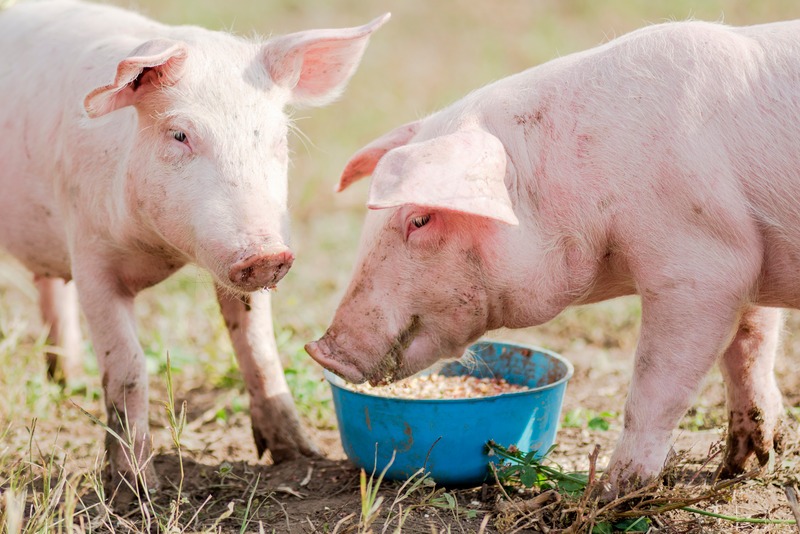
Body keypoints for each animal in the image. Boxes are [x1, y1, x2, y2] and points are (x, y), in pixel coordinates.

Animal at [0, 0, 388, 495]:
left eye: (278, 138)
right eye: (180, 135)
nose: (267, 255)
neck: (161, 251)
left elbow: (258, 347)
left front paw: (300, 455)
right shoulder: (90, 255)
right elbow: (127, 365)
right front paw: (137, 487)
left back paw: (71, 381)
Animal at [306, 19, 798, 495]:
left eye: (420, 219)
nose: (322, 350)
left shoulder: (703, 264)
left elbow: (657, 382)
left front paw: (613, 492)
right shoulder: (746, 258)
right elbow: (750, 347)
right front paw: (743, 467)